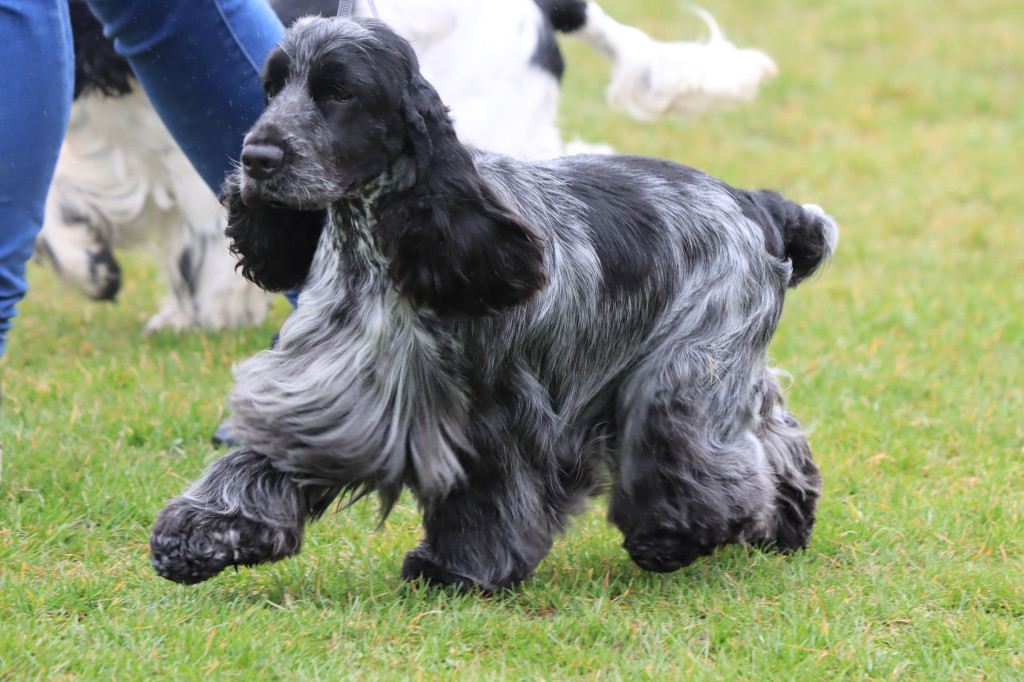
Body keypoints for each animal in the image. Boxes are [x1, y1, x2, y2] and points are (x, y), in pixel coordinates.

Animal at [146, 15, 831, 589]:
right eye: (270, 88)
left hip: (690, 366)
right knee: (773, 428)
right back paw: (787, 520)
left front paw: (456, 569)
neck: (379, 246)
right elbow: (264, 456)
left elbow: (487, 495)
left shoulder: (496, 409)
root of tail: (755, 203)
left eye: (339, 93)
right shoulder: (328, 390)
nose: (256, 159)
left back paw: (676, 537)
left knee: (698, 451)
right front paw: (194, 536)